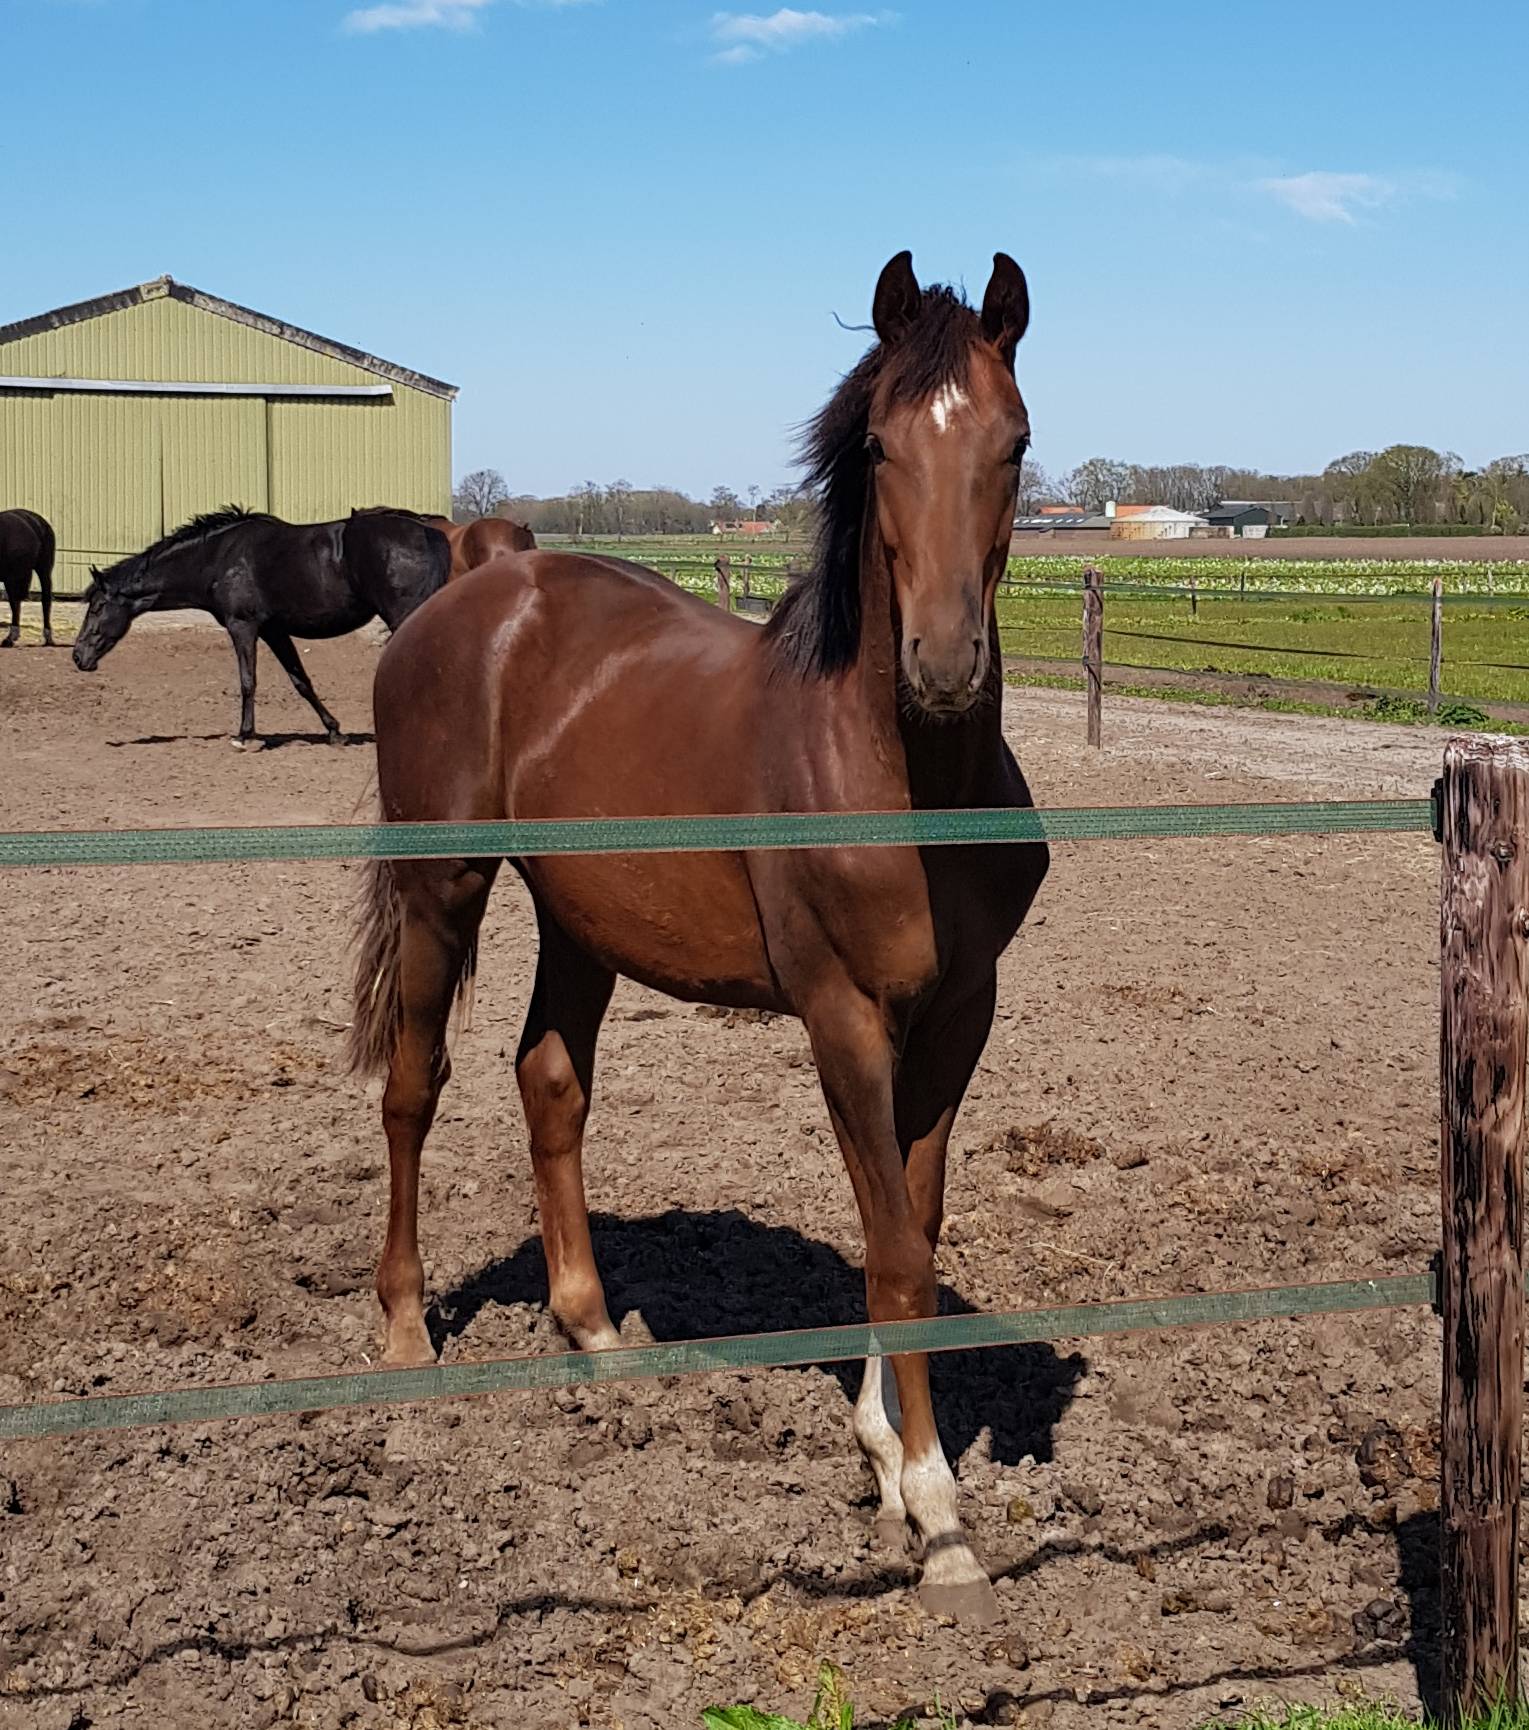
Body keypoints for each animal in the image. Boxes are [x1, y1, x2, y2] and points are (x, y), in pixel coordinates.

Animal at [71, 506, 449, 745]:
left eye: (98, 607)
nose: (78, 656)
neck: (218, 557)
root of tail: (429, 534)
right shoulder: (274, 631)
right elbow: (301, 681)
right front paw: (334, 731)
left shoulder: (243, 626)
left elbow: (247, 681)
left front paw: (244, 735)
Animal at [347, 250, 1044, 1621]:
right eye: (878, 444)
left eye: (1014, 441)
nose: (942, 664)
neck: (903, 773)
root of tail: (472, 588)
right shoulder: (841, 1017)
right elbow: (892, 1248)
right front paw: (936, 1512)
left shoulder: (956, 1017)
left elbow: (911, 1225)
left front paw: (884, 1451)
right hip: (442, 885)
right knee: (413, 1084)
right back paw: (404, 1332)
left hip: (577, 920)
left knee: (548, 1081)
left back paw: (592, 1327)